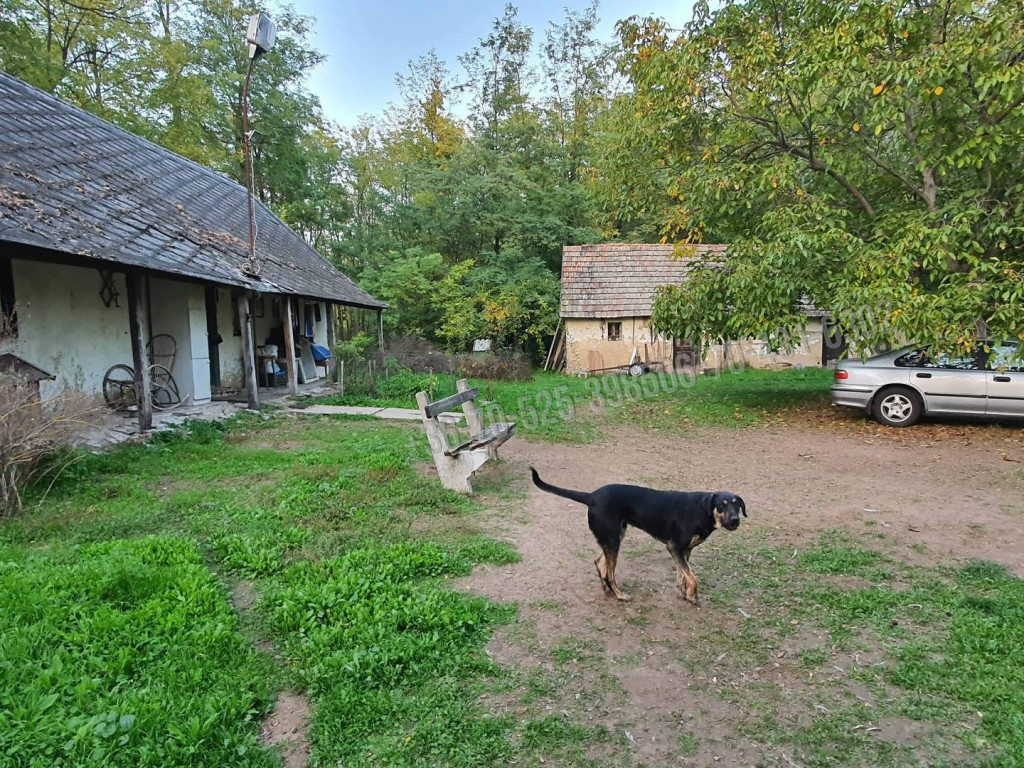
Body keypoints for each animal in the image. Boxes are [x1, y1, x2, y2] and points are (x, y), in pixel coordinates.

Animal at [530, 467, 746, 605]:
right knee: (609, 573)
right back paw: (619, 595)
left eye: (737, 505)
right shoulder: (674, 547)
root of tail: (591, 496)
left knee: (600, 563)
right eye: (722, 505)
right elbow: (693, 576)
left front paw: (684, 593)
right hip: (613, 540)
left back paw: (606, 589)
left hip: (615, 536)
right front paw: (693, 596)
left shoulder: (685, 550)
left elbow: (684, 574)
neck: (703, 510)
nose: (736, 520)